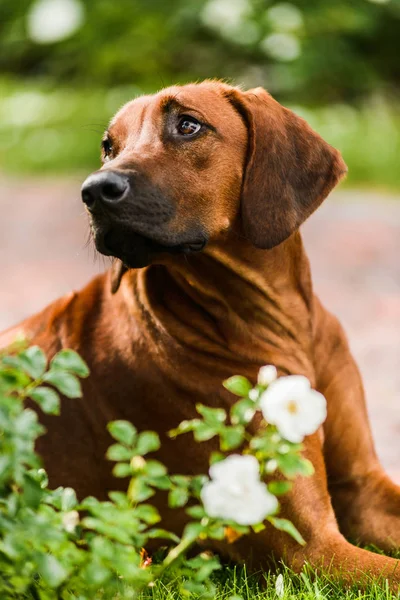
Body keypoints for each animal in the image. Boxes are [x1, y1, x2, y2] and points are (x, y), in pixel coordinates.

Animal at [0, 79, 400, 580]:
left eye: (188, 125)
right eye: (109, 147)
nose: (93, 190)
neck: (282, 325)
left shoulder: (363, 486)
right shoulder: (309, 547)